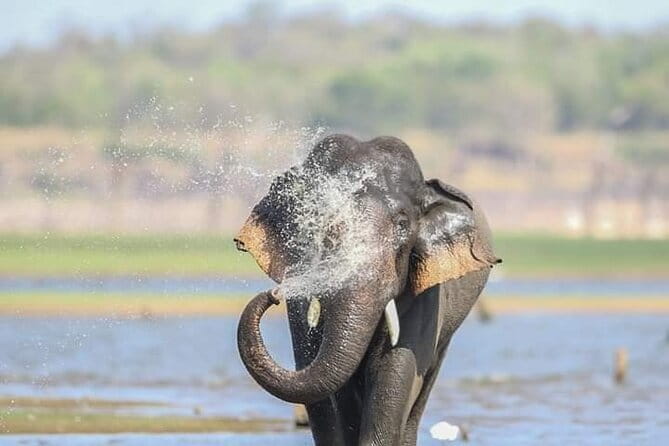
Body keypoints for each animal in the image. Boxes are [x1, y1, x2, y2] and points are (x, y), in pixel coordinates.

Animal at [235, 134, 500, 445]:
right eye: (319, 220)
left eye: (402, 225)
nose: (274, 296)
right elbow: (330, 380)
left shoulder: (426, 292)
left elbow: (396, 367)